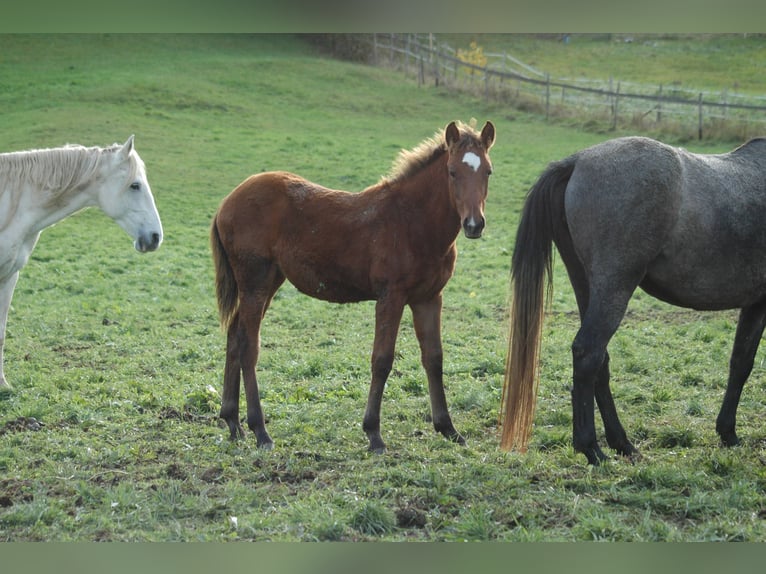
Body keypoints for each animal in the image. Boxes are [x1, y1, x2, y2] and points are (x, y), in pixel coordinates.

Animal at [211, 120, 495, 453]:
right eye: (452, 171)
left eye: (488, 171)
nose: (474, 224)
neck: (411, 221)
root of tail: (226, 202)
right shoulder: (391, 296)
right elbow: (382, 360)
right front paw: (374, 434)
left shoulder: (429, 298)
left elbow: (434, 358)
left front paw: (448, 428)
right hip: (256, 281)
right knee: (248, 345)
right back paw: (260, 430)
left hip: (267, 282)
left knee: (234, 335)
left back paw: (233, 422)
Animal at [501, 135, 766, 465]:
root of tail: (577, 160)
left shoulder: (754, 303)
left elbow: (740, 362)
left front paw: (727, 432)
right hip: (615, 286)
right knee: (588, 352)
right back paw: (591, 447)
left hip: (587, 285)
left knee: (600, 361)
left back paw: (622, 443)